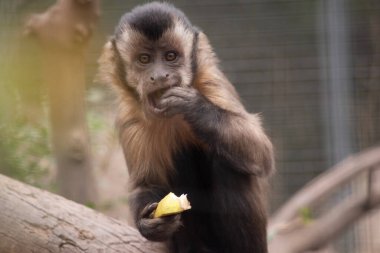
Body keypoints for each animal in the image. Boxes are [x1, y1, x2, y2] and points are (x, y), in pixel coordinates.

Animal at [99, 1, 274, 253]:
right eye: (144, 59)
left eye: (170, 56)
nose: (159, 75)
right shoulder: (129, 117)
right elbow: (145, 183)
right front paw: (148, 223)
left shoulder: (212, 83)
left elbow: (262, 153)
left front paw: (193, 107)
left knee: (229, 164)